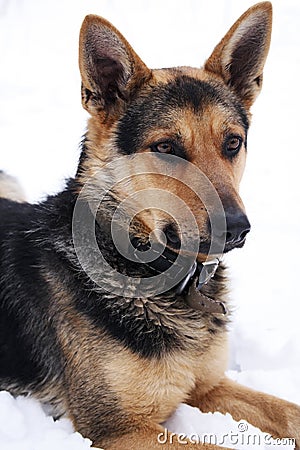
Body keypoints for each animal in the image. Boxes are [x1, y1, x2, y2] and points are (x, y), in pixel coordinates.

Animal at [0, 1, 300, 448]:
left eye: (232, 143)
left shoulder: (209, 385)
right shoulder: (119, 428)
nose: (237, 228)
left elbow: (288, 411)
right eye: (166, 148)